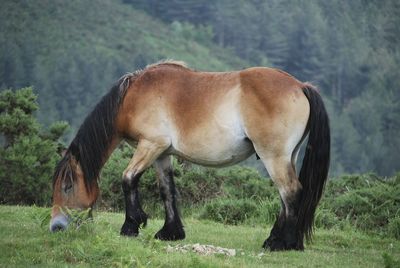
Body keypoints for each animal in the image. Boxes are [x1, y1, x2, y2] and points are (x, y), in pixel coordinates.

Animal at [50, 59, 330, 250]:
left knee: (290, 192)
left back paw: (284, 243)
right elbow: (167, 190)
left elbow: (128, 178)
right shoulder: (161, 153)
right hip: (287, 156)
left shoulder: (150, 144)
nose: (56, 227)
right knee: (286, 196)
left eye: (67, 186)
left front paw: (131, 226)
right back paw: (274, 239)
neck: (133, 97)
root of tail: (300, 86)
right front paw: (170, 232)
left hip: (274, 157)